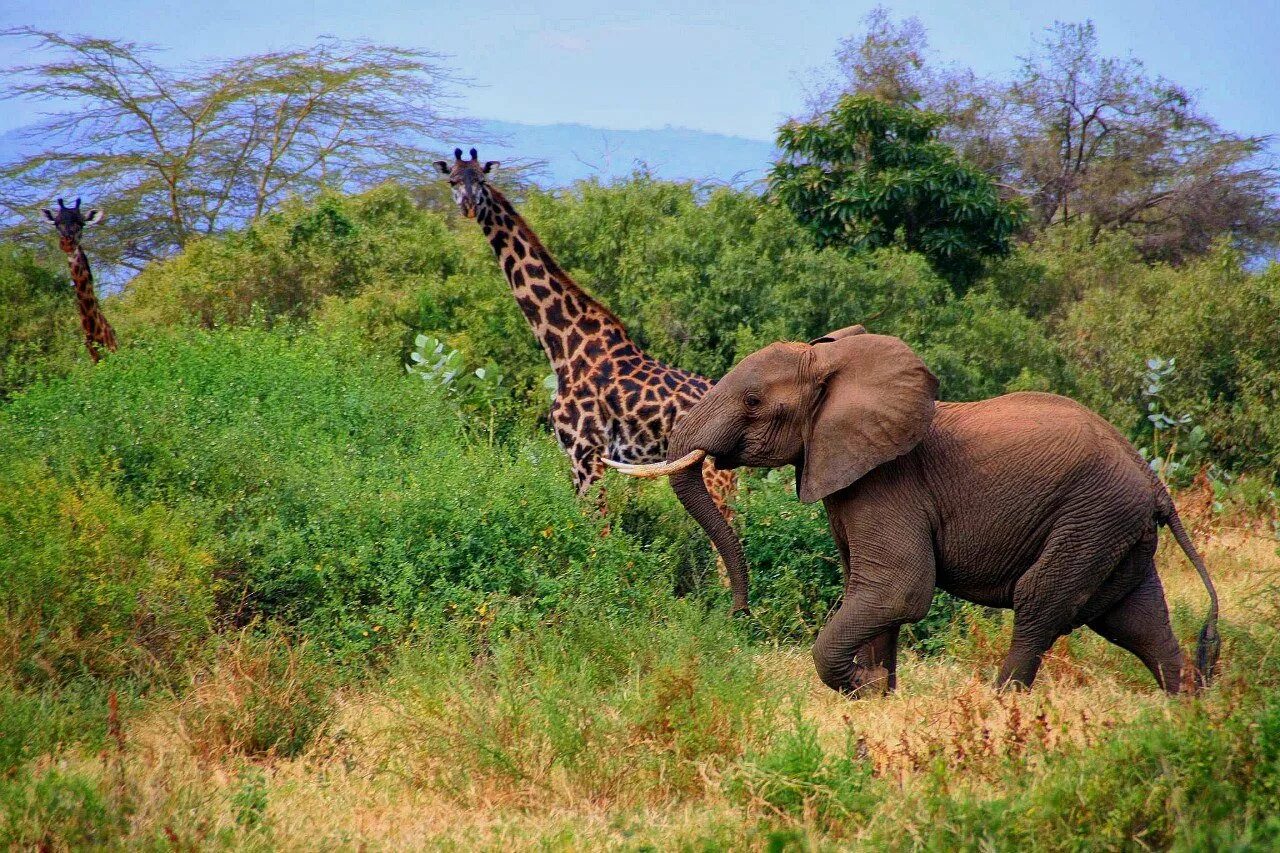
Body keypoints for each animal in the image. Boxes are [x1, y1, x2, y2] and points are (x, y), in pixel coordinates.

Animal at [435, 146, 737, 517]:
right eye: (452, 180)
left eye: (480, 179)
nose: (468, 206)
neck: (562, 344)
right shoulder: (579, 457)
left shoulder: (588, 452)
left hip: (714, 472)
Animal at [609, 324, 1218, 691]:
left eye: (754, 401)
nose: (737, 614)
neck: (834, 365)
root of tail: (1154, 481)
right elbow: (871, 590)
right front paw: (878, 695)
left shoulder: (888, 481)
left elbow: (896, 589)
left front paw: (861, 688)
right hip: (1115, 530)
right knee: (1136, 620)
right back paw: (1187, 711)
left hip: (1091, 517)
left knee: (1042, 602)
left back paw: (1000, 707)